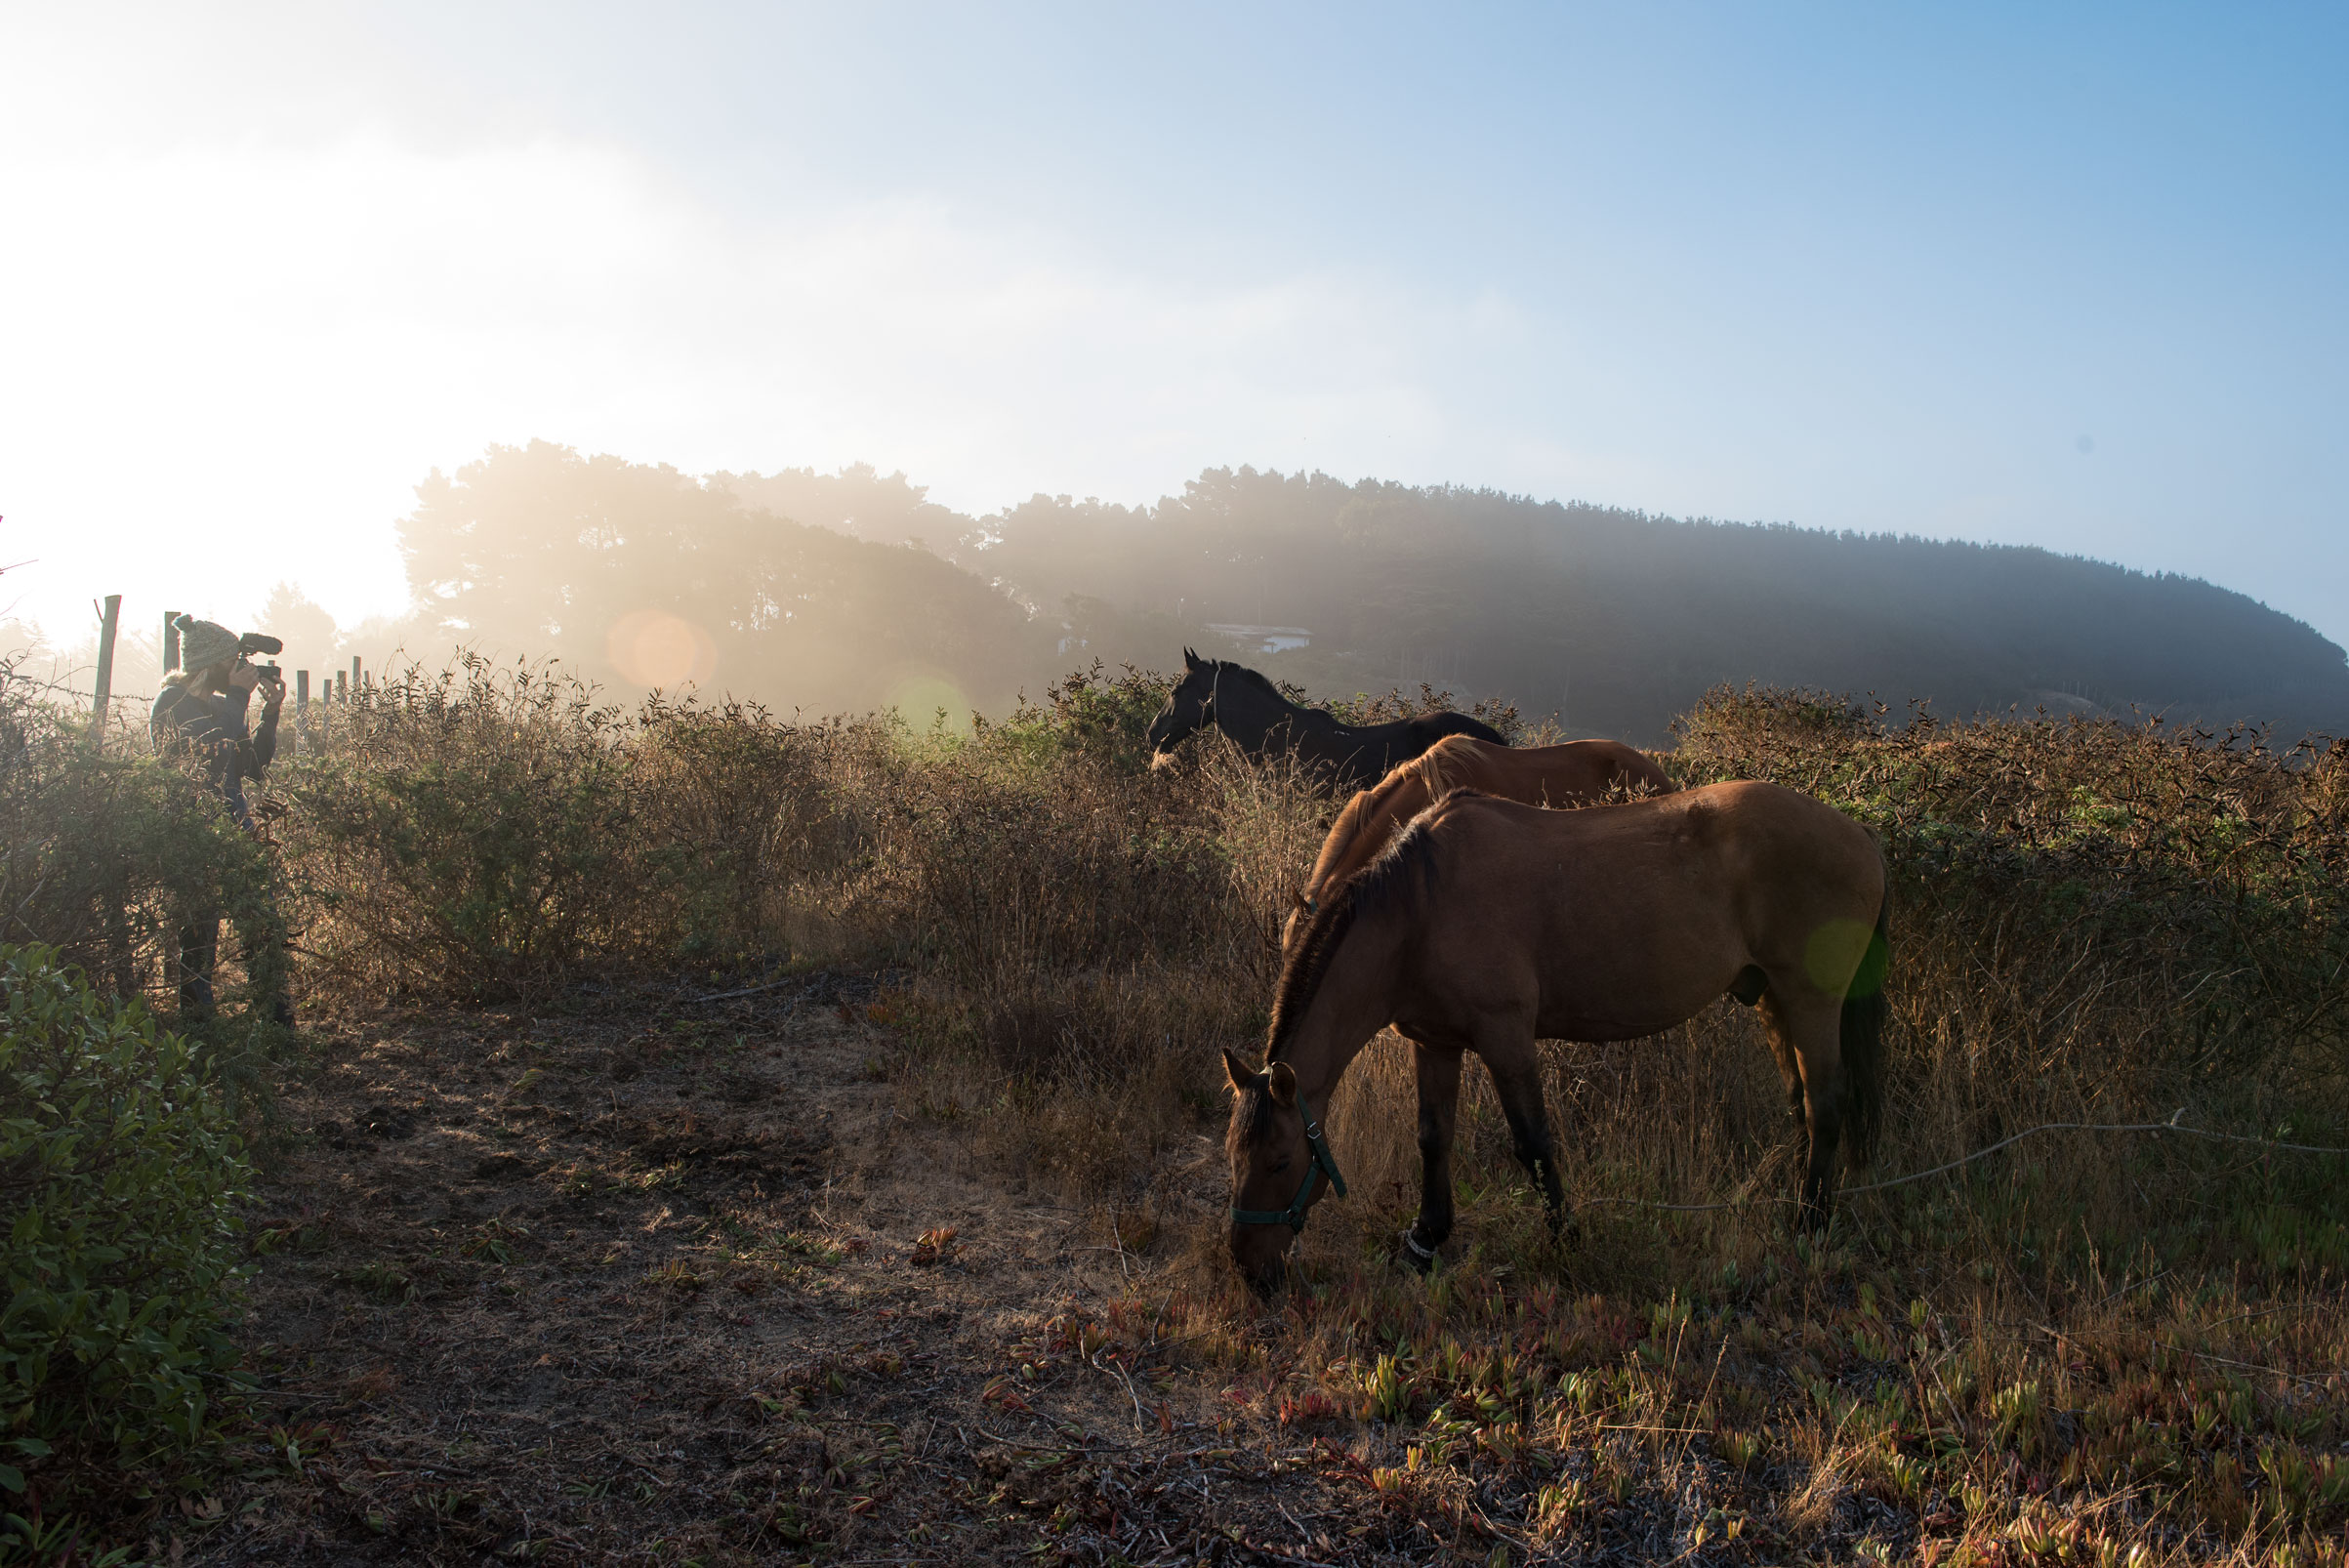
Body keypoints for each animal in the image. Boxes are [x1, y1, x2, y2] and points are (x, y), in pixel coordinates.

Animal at [1230, 785, 1888, 1298]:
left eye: (1279, 1161)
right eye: (1235, 1156)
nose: (1248, 1268)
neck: (1420, 908)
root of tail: (1859, 833)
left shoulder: (1505, 1037)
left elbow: (1534, 1143)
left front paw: (1565, 1238)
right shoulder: (1435, 1042)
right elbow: (1433, 1137)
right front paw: (1425, 1239)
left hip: (1811, 1001)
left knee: (1825, 1103)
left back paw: (1810, 1222)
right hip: (1773, 999)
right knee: (1799, 1103)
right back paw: (1791, 1200)